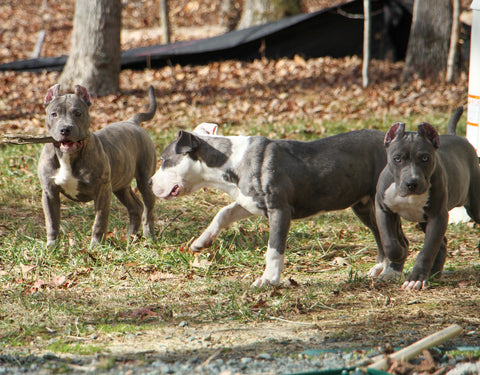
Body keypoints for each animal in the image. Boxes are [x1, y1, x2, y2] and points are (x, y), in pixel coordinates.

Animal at [38, 85, 158, 250]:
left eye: (78, 113)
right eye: (54, 114)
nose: (65, 129)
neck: (68, 156)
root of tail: (132, 122)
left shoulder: (102, 191)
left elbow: (99, 222)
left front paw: (95, 246)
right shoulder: (49, 193)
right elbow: (51, 222)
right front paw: (52, 246)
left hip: (144, 180)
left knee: (148, 210)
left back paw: (149, 236)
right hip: (120, 186)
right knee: (136, 207)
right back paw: (130, 237)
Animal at [150, 123, 386, 288]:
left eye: (164, 160)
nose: (150, 182)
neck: (227, 162)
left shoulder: (279, 209)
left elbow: (274, 248)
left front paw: (269, 280)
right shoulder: (249, 201)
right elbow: (224, 212)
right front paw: (201, 241)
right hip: (363, 206)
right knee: (380, 235)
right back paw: (380, 268)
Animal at [374, 108, 480, 290]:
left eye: (425, 158)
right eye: (397, 158)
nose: (412, 183)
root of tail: (457, 136)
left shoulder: (438, 217)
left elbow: (427, 250)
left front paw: (415, 278)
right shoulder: (383, 209)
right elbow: (390, 243)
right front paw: (399, 255)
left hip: (475, 206)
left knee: (440, 242)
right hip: (423, 220)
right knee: (442, 243)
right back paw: (434, 273)